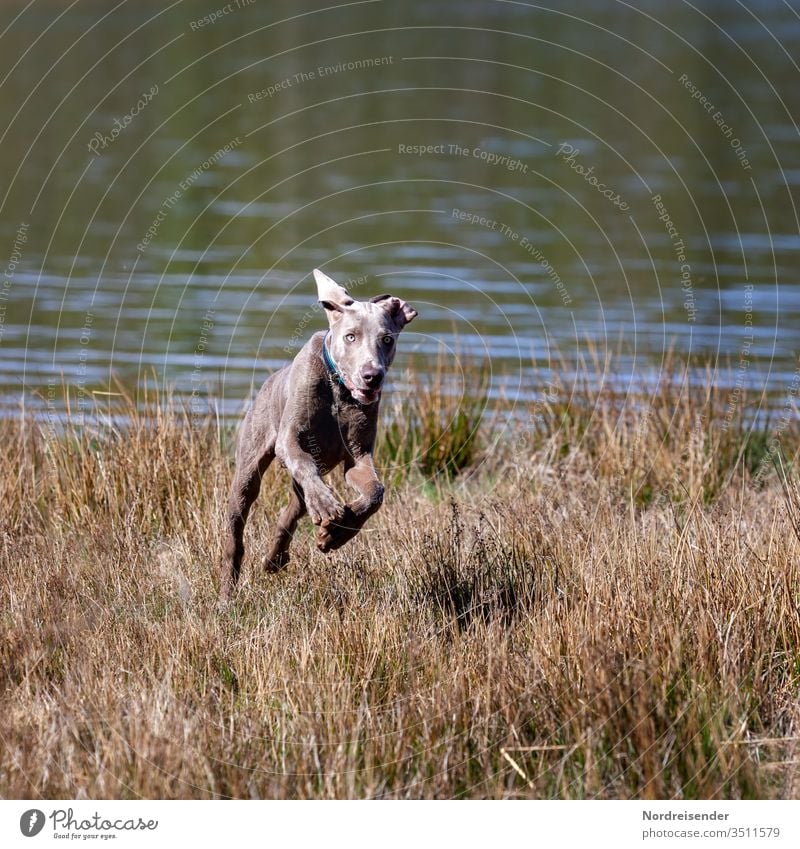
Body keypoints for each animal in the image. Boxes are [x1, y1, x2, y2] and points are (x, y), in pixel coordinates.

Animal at [220, 268, 418, 600]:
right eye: (350, 336)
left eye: (387, 339)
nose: (372, 376)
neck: (339, 390)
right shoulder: (291, 439)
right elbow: (302, 463)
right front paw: (327, 506)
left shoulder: (359, 455)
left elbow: (375, 492)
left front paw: (337, 534)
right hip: (249, 467)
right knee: (239, 522)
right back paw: (229, 586)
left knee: (291, 512)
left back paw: (275, 558)